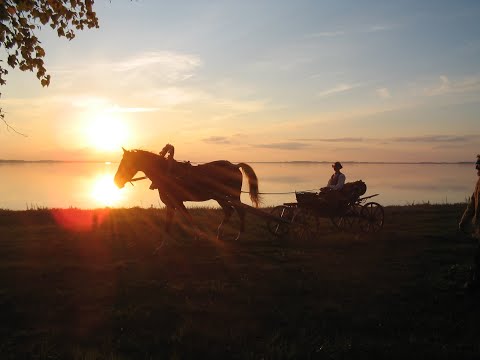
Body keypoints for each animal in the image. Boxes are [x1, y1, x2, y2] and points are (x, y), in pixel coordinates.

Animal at [113, 148, 260, 240]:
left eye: (126, 163)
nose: (116, 181)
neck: (167, 173)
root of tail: (234, 166)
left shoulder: (177, 202)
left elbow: (187, 218)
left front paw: (198, 235)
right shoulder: (171, 204)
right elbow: (169, 225)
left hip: (232, 196)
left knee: (240, 211)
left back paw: (239, 235)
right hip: (220, 197)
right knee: (229, 211)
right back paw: (220, 233)